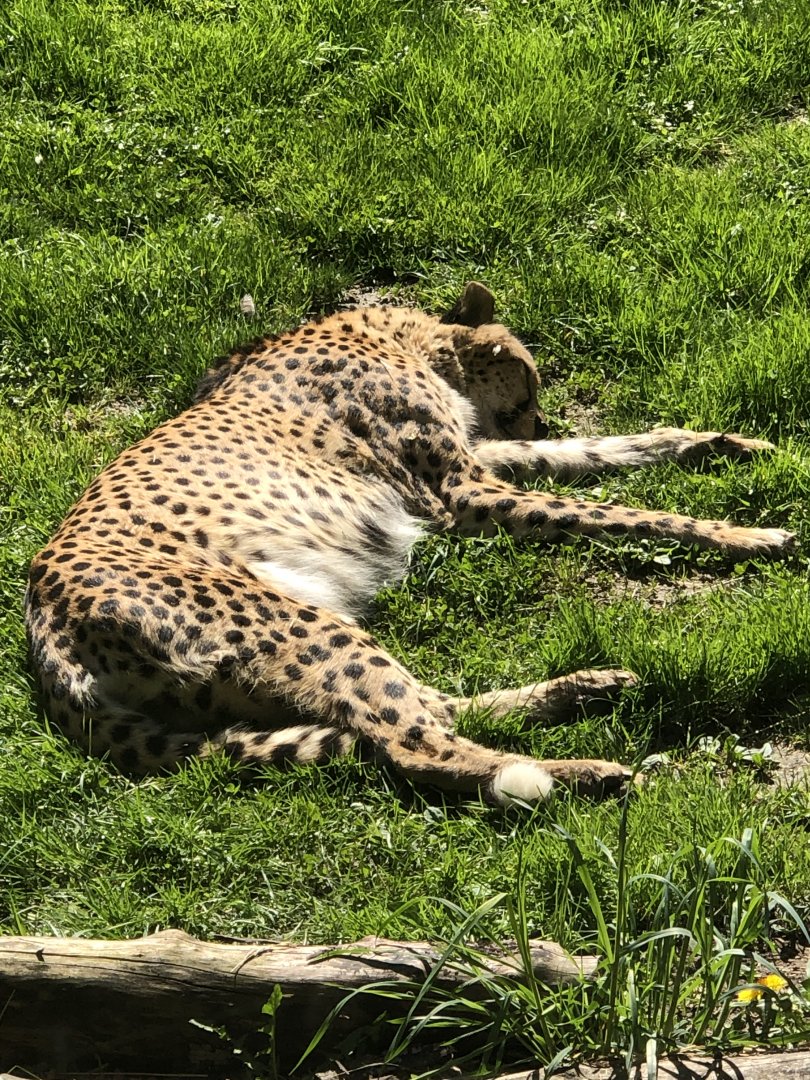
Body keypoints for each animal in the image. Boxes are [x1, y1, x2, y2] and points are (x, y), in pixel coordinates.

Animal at [25, 282, 794, 806]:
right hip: (301, 627)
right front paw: (746, 534)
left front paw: (730, 445)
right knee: (412, 743)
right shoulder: (463, 492)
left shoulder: (480, 463)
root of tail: (45, 629)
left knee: (425, 709)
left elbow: (603, 451)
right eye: (527, 386)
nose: (540, 413)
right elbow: (620, 511)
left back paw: (586, 688)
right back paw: (578, 772)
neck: (398, 336)